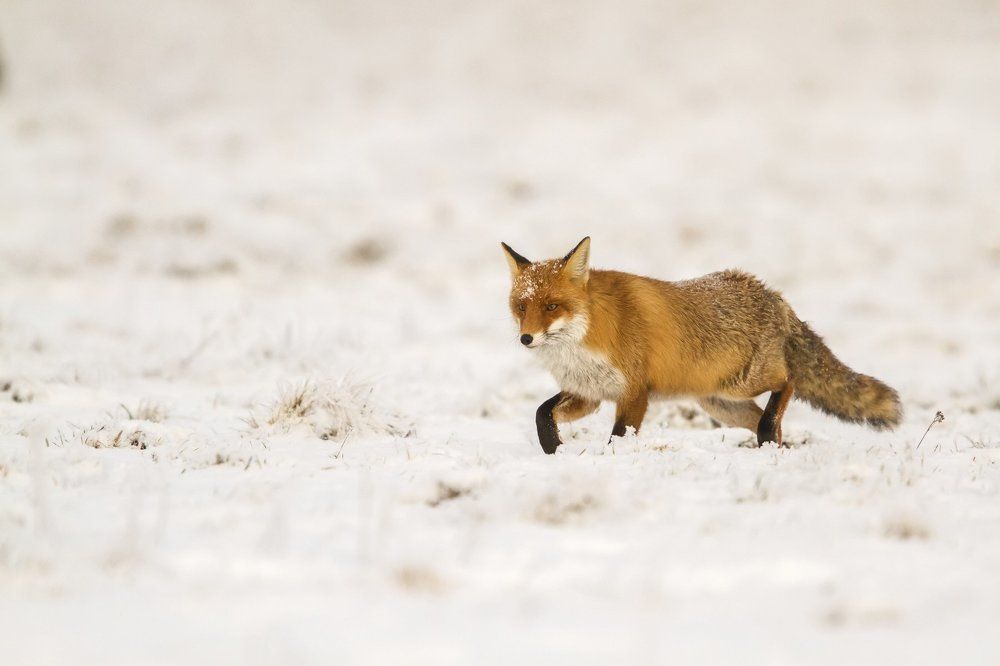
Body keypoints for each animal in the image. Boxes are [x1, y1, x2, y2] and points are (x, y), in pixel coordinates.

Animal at [502, 236, 902, 454]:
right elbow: (541, 414)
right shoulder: (589, 393)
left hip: (744, 385)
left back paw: (770, 433)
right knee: (765, 419)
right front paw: (554, 450)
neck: (581, 342)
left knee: (787, 381)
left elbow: (619, 438)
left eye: (552, 306)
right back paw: (774, 448)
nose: (526, 338)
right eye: (522, 307)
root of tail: (771, 294)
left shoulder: (634, 393)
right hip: (722, 404)